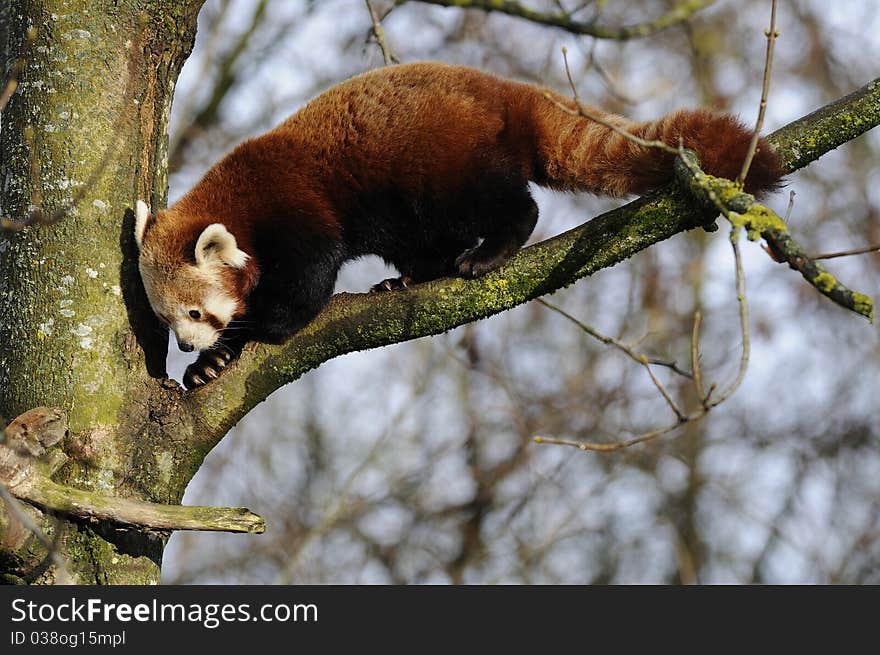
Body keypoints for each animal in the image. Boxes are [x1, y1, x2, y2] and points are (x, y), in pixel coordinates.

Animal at [138, 61, 784, 386]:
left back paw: (488, 252)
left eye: (194, 312)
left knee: (505, 204)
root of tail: (507, 91)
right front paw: (210, 362)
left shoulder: (296, 206)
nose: (186, 343)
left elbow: (306, 286)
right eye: (168, 321)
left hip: (445, 161)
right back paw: (412, 275)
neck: (240, 199)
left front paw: (248, 333)